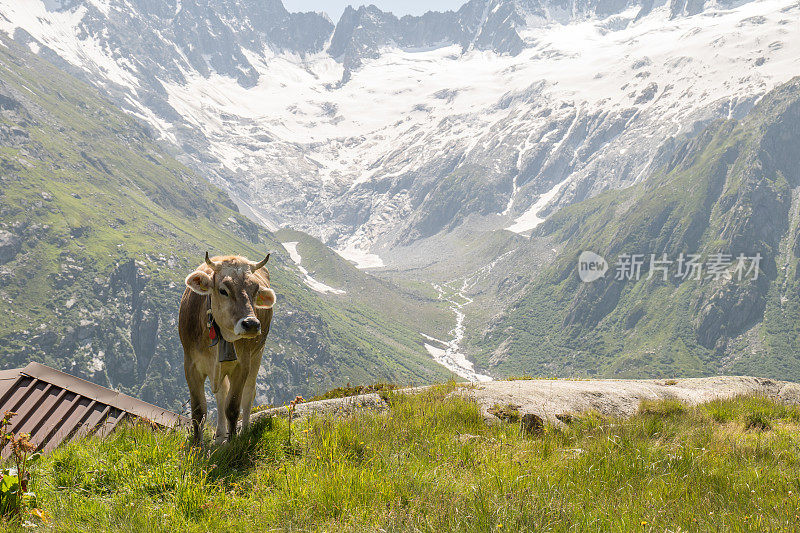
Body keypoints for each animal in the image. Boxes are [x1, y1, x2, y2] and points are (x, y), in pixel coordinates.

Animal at [179, 251, 276, 442]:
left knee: (249, 393)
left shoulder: (242, 365)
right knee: (221, 394)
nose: (251, 324)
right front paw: (197, 444)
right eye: (223, 290)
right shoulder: (191, 365)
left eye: (255, 291)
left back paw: (244, 431)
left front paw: (232, 443)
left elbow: (232, 408)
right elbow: (198, 411)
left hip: (257, 355)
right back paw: (219, 434)